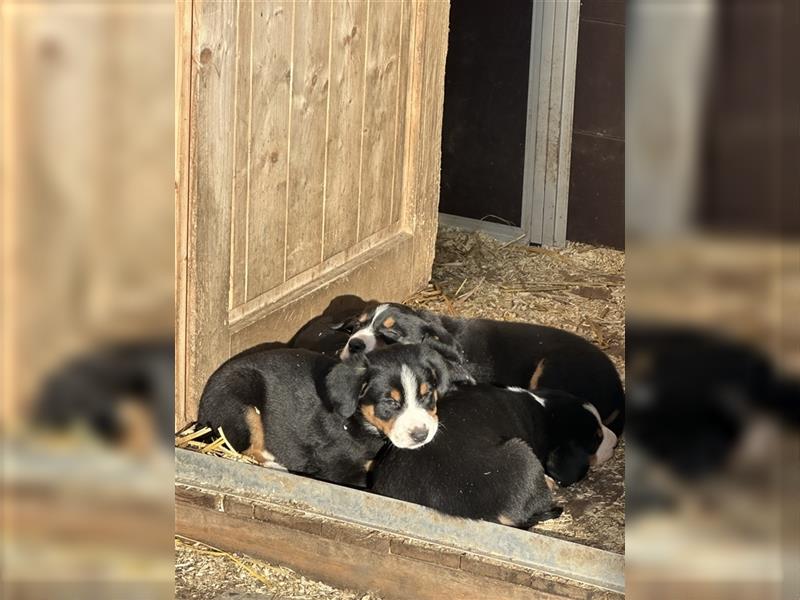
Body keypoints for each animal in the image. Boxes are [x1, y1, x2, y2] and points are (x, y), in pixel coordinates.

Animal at [195, 342, 466, 488]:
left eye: (427, 394)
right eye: (389, 402)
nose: (421, 434)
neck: (358, 422)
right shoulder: (341, 470)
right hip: (242, 400)